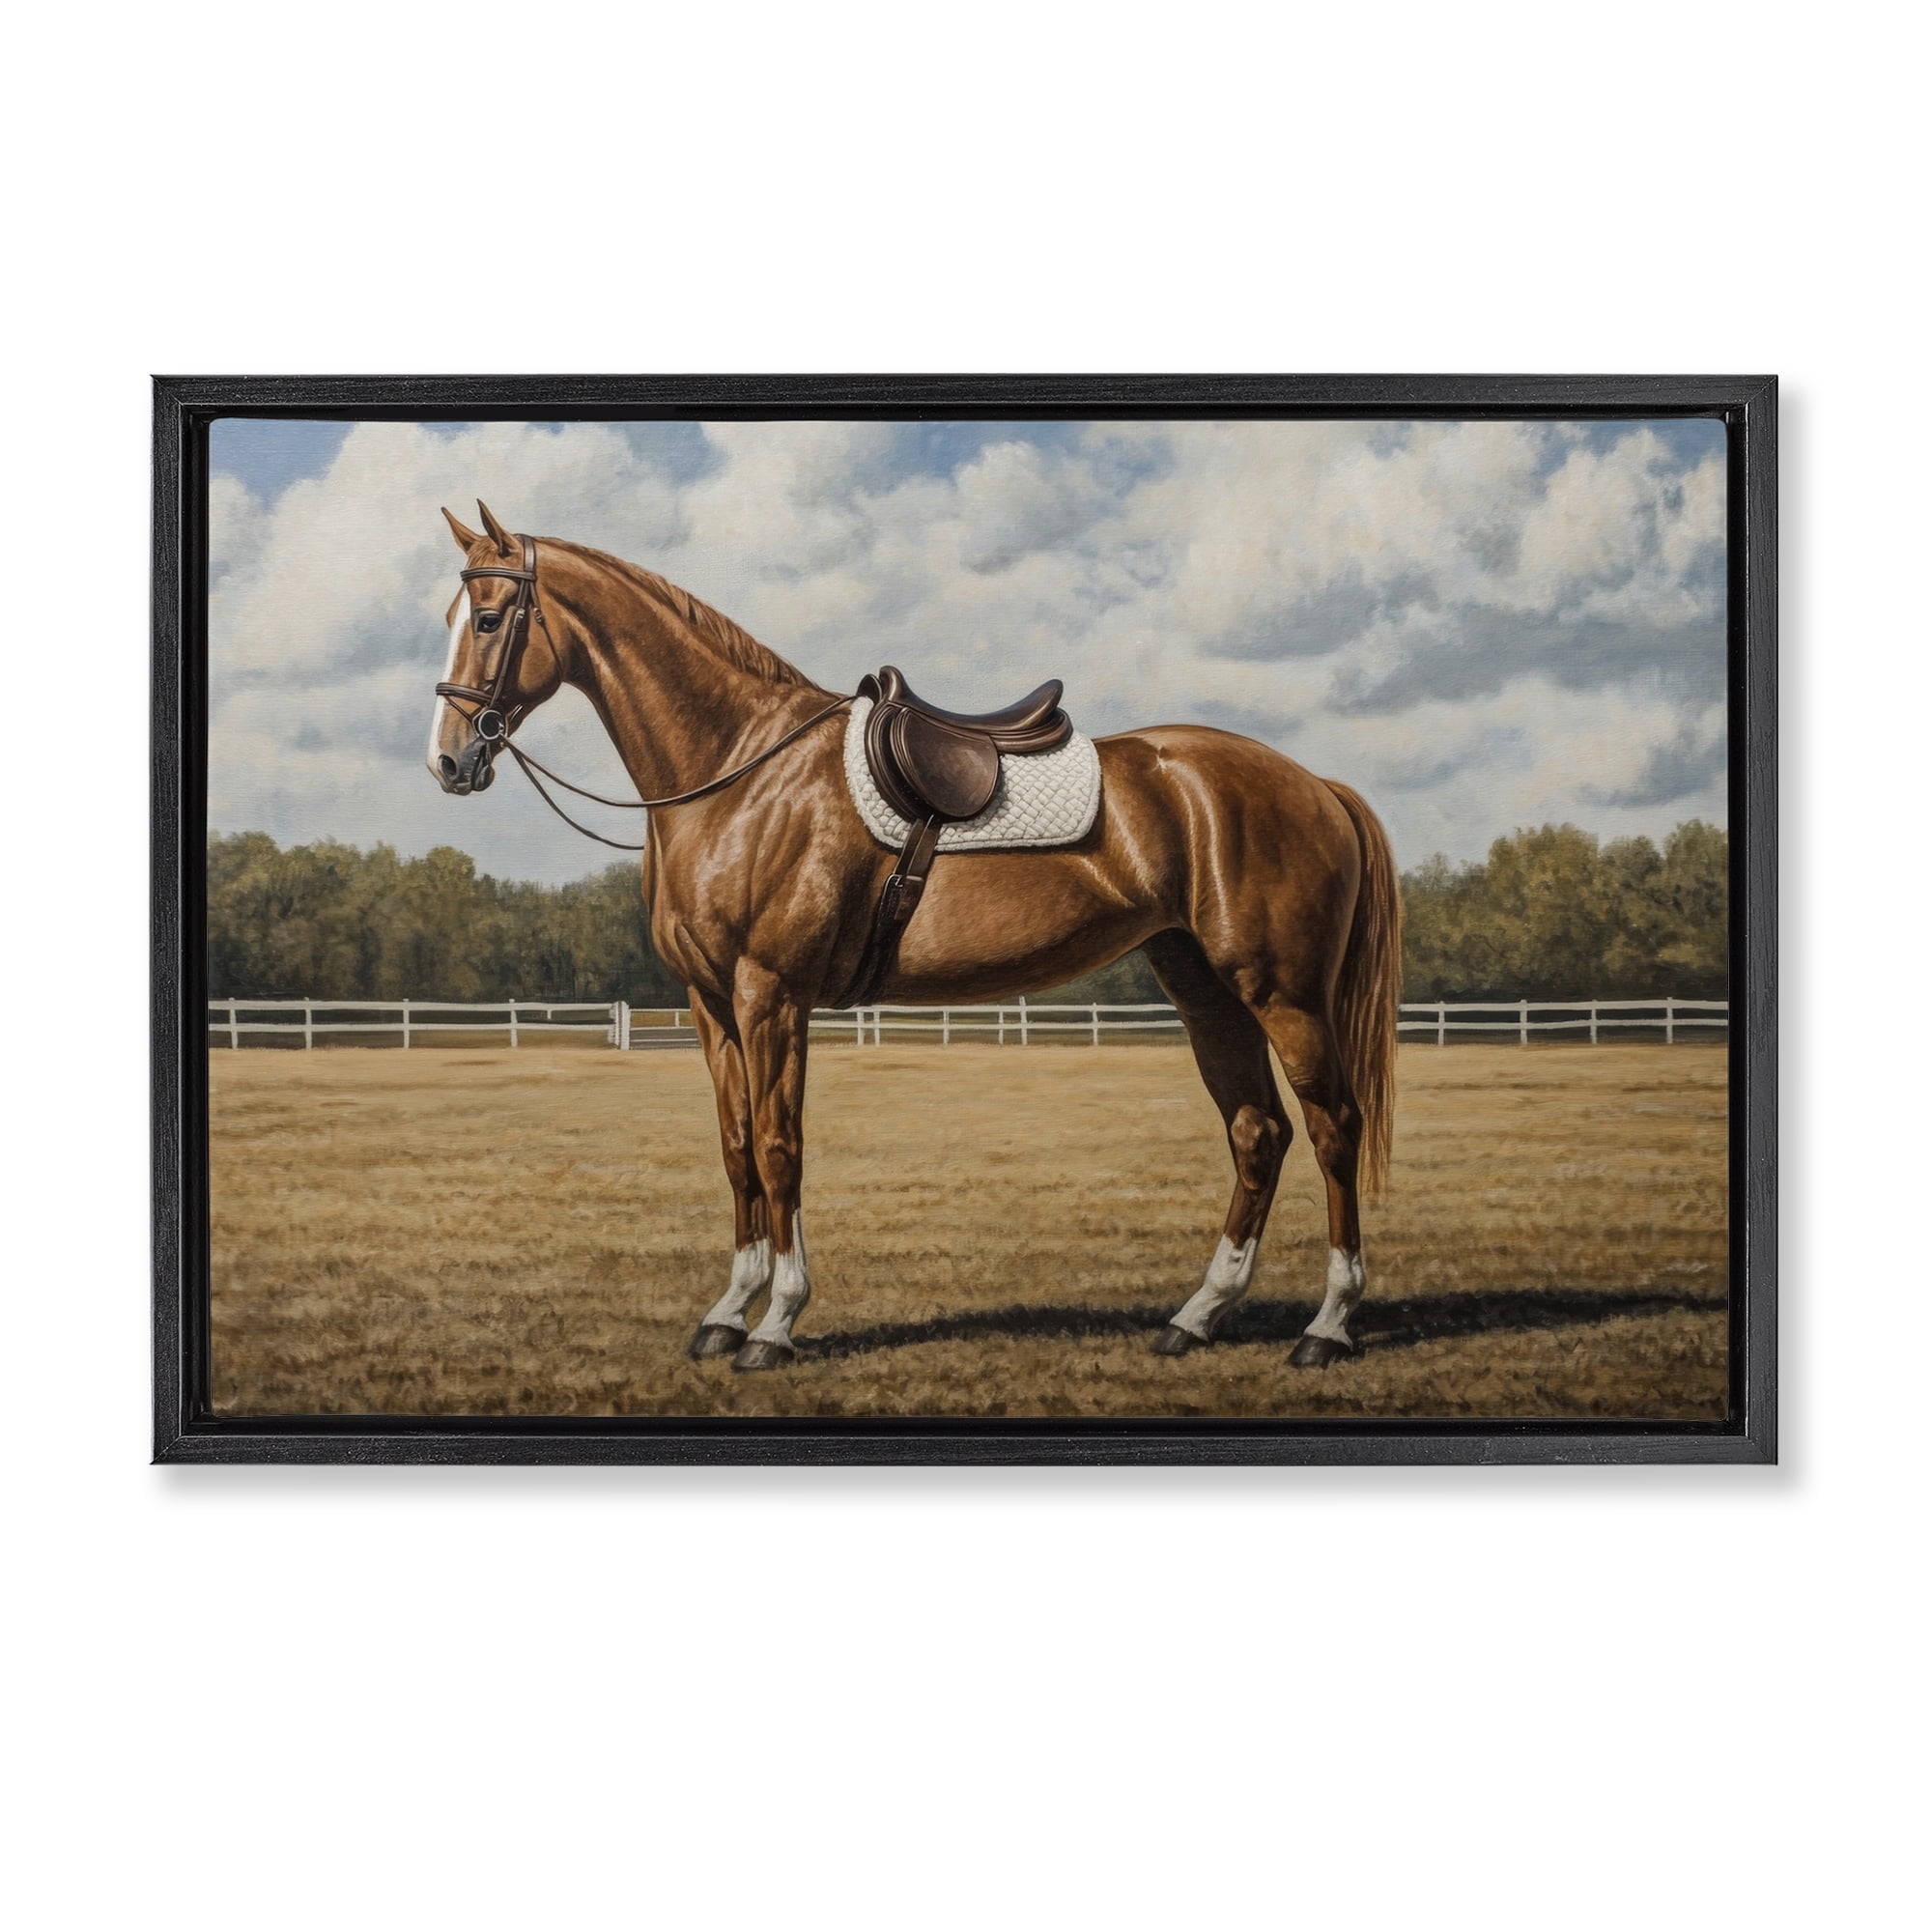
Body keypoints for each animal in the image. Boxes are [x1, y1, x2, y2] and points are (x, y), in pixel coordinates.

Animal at [427, 502, 1401, 1372]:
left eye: (488, 617)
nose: (448, 760)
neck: (739, 773)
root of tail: (1313, 782)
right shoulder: (710, 1002)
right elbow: (737, 1148)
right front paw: (726, 1313)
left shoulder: (770, 993)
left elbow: (780, 1147)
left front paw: (776, 1323)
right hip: (1204, 989)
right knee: (1257, 1132)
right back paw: (1196, 1318)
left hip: (1283, 993)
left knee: (1333, 1125)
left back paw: (1326, 1328)